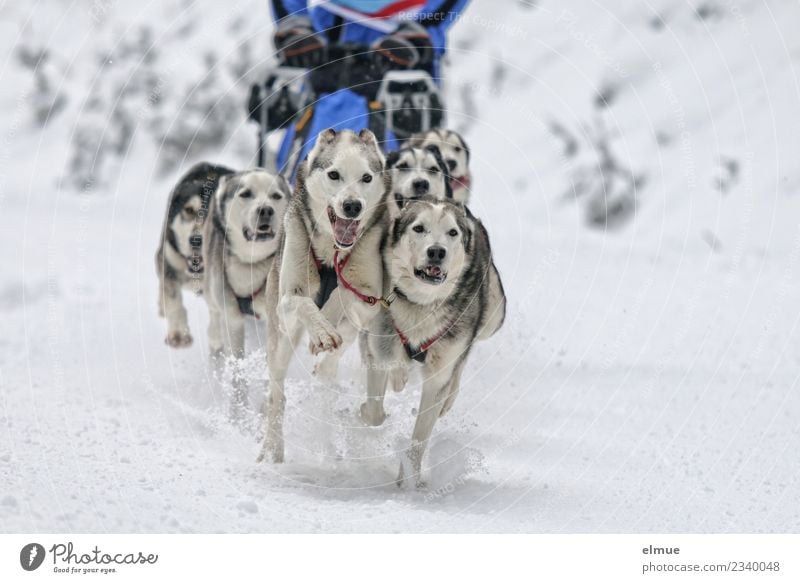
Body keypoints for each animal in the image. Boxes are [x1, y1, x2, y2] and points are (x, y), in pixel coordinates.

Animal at [155, 162, 231, 350]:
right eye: (189, 210)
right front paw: (178, 334)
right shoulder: (169, 261)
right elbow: (174, 301)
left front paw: (217, 335)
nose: (196, 241)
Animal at [205, 167, 292, 412]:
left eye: (275, 196)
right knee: (214, 319)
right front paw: (238, 409)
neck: (252, 263)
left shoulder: (274, 318)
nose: (265, 210)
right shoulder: (232, 318)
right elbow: (237, 367)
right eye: (245, 194)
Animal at [258, 129, 392, 466]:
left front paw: (327, 323)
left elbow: (343, 296)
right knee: (276, 394)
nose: (352, 205)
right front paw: (321, 331)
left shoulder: (369, 297)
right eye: (334, 175)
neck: (333, 252)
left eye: (366, 177)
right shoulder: (288, 297)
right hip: (281, 339)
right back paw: (273, 448)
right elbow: (304, 301)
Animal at [362, 200, 506, 488]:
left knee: (463, 359)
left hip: (493, 315)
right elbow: (374, 412)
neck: (422, 304)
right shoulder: (380, 345)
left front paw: (409, 482)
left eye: (452, 233)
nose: (437, 251)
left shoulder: (439, 372)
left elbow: (419, 439)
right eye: (419, 228)